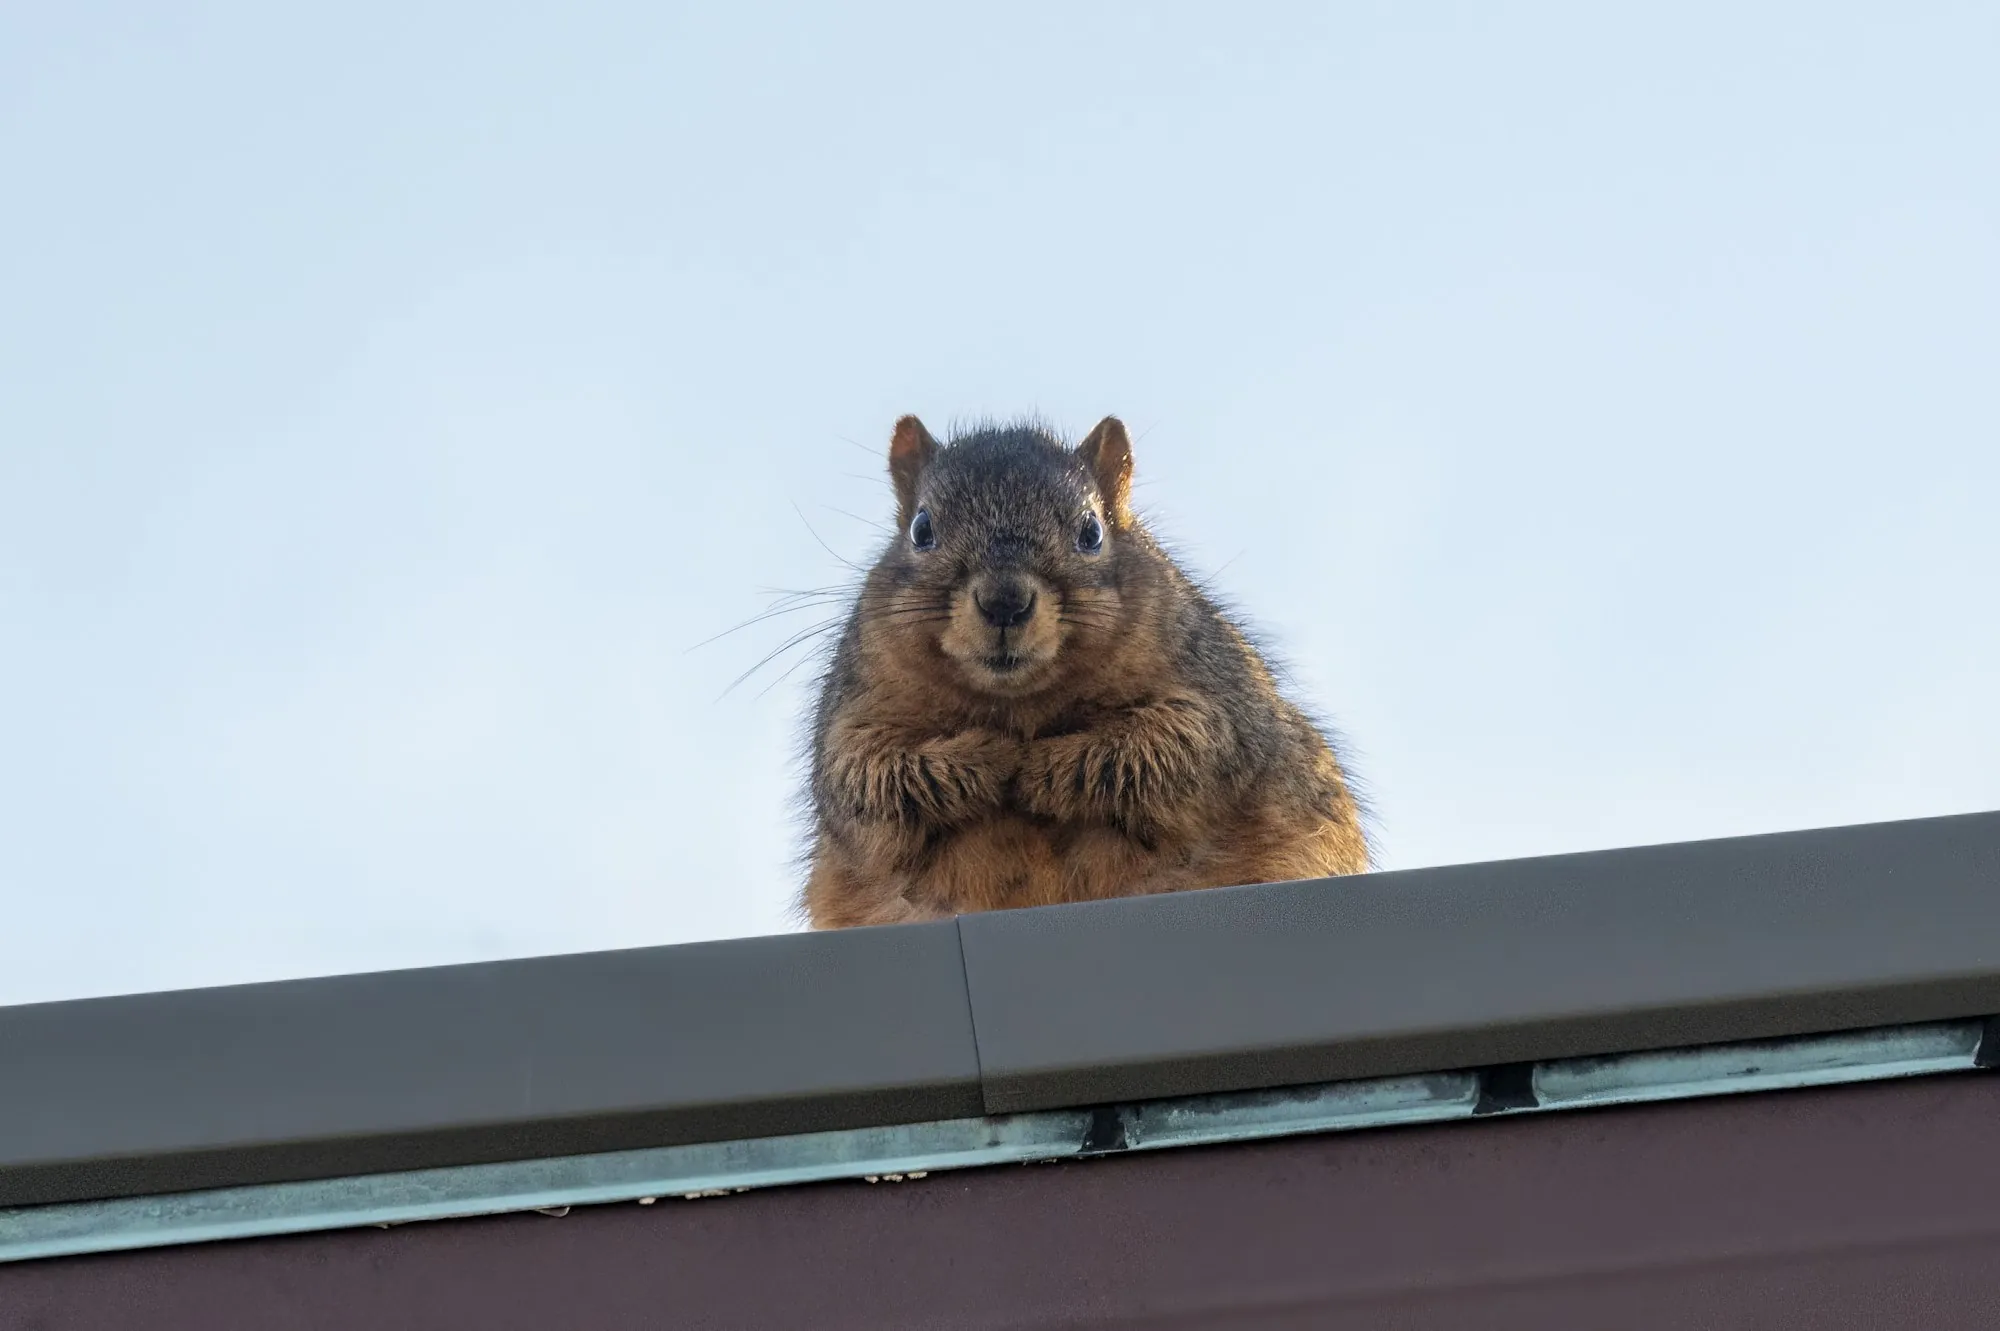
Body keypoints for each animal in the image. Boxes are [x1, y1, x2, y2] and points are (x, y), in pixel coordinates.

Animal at [799, 414, 1369, 929]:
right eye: (921, 530)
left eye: (1092, 532)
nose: (1004, 601)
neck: (1019, 700)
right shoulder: (853, 713)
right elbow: (867, 776)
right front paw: (988, 758)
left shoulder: (1217, 697)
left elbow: (1176, 745)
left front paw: (1043, 766)